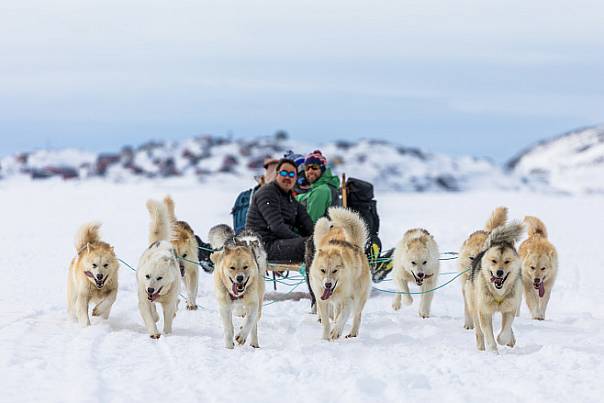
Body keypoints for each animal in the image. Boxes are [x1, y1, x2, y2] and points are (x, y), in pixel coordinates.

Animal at [137, 200, 182, 340]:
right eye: (147, 276)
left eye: (159, 278)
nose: (150, 289)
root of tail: (160, 241)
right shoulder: (144, 299)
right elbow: (149, 315)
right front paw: (154, 333)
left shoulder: (169, 303)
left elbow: (168, 318)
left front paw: (167, 334)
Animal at [310, 207, 370, 342]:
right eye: (322, 270)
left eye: (335, 270)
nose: (327, 284)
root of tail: (355, 245)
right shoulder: (322, 301)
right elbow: (326, 322)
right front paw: (325, 338)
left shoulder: (348, 301)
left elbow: (342, 318)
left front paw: (335, 332)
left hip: (359, 297)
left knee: (357, 315)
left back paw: (352, 333)